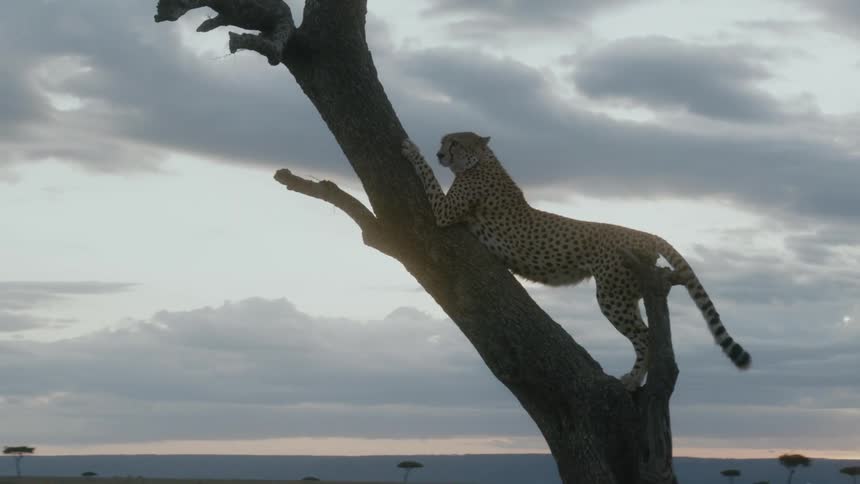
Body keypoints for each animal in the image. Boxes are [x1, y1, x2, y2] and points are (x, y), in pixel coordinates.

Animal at [401, 131, 751, 390]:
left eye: (454, 142)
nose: (440, 153)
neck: (484, 160)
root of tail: (646, 233)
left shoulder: (444, 214)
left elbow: (428, 178)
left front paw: (410, 147)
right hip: (629, 292)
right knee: (646, 332)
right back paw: (637, 379)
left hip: (612, 294)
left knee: (645, 336)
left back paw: (632, 380)